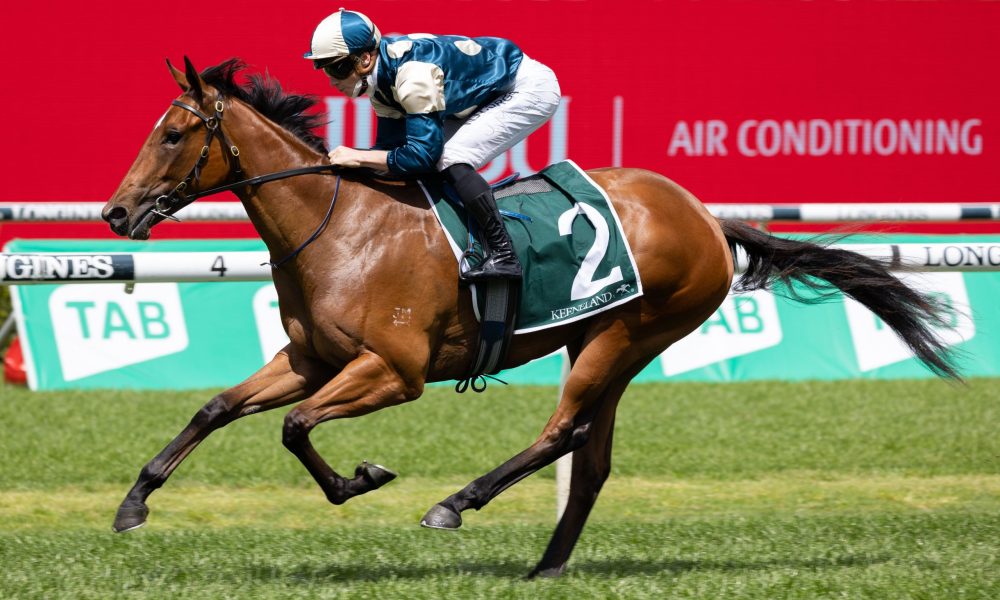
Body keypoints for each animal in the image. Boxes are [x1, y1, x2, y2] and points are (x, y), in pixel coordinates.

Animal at [101, 58, 958, 578]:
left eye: (172, 134)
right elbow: (217, 408)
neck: (340, 225)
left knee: (563, 433)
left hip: (624, 334)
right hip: (606, 338)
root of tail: (707, 218)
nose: (115, 213)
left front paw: (361, 479)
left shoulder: (393, 372)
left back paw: (455, 504)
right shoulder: (310, 361)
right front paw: (134, 502)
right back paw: (547, 562)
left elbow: (295, 427)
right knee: (591, 454)